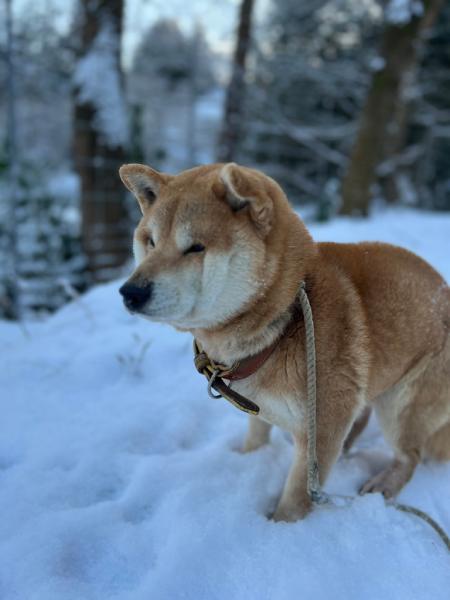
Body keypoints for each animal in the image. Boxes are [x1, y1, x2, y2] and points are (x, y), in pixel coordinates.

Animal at [118, 163, 448, 520]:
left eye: (196, 247)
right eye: (150, 242)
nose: (130, 292)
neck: (285, 321)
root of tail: (442, 288)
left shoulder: (321, 430)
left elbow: (296, 497)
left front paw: (281, 526)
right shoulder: (260, 407)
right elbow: (256, 437)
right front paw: (247, 460)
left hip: (401, 406)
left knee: (410, 456)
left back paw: (386, 483)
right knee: (362, 419)